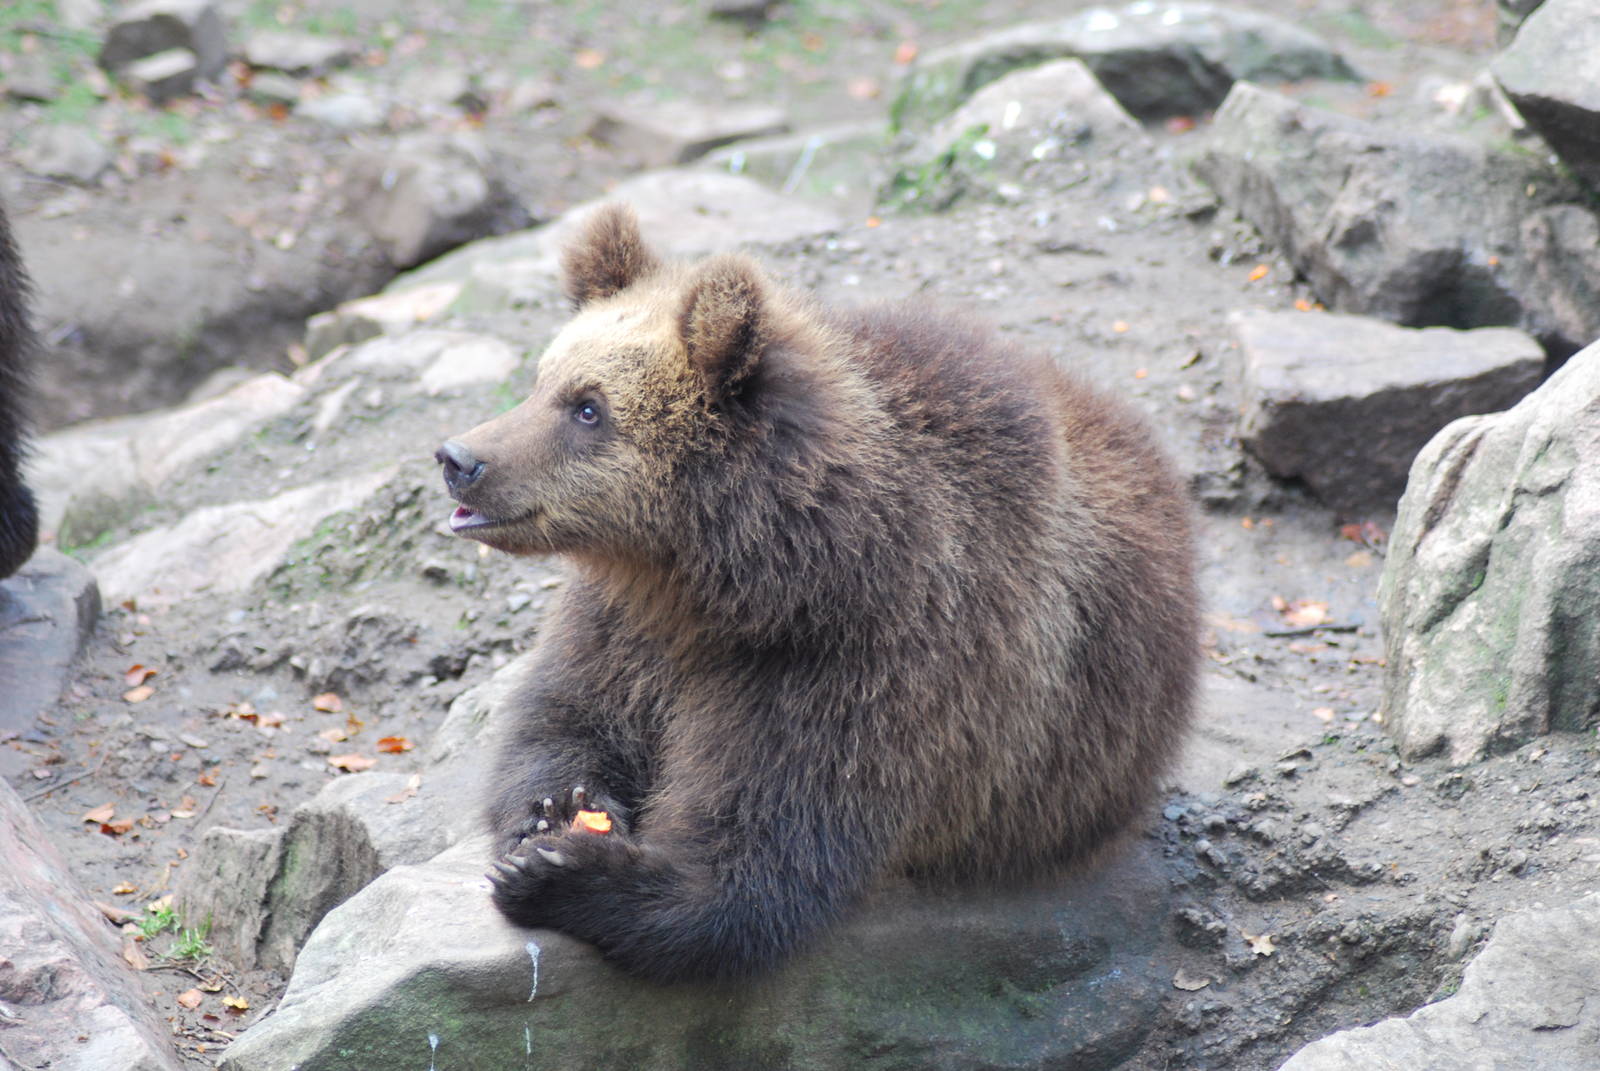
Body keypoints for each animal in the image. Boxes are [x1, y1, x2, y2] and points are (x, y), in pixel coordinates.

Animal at [436, 204, 1198, 983]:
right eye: (542, 379)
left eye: (589, 408)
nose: (460, 458)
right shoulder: (624, 624)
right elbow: (560, 719)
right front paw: (556, 812)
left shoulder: (866, 664)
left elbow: (764, 853)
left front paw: (567, 872)